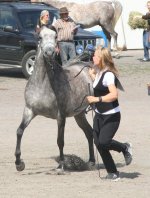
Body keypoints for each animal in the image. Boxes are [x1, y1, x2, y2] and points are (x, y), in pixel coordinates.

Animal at [14, 26, 95, 172]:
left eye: (56, 37)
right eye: (40, 37)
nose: (49, 52)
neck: (42, 84)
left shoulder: (60, 116)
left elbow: (60, 140)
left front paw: (61, 164)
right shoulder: (29, 110)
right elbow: (19, 131)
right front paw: (19, 163)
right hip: (79, 114)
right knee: (89, 132)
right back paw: (91, 162)